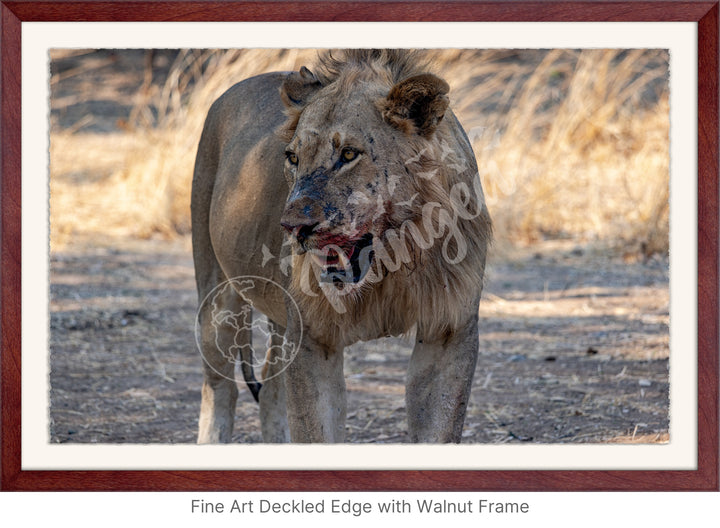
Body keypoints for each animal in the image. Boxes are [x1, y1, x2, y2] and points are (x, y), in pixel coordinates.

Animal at [193, 50, 490, 446]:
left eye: (349, 154)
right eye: (293, 158)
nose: (293, 227)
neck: (393, 265)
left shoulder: (449, 331)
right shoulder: (312, 338)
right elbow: (316, 431)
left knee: (270, 386)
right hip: (217, 293)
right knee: (219, 387)